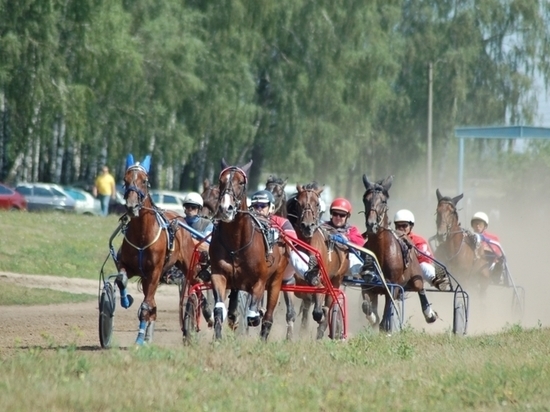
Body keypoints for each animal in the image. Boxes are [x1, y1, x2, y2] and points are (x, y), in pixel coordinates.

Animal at [115, 154, 197, 344]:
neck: (142, 234)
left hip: (186, 263)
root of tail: (179, 218)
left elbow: (146, 305)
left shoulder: (154, 271)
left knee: (192, 286)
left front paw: (139, 339)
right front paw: (126, 300)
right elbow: (121, 279)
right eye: (125, 180)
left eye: (144, 181)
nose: (131, 206)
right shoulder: (129, 266)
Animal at [209, 159, 292, 340]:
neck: (236, 243)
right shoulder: (219, 274)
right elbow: (219, 310)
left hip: (276, 279)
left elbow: (253, 317)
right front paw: (217, 339)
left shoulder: (259, 281)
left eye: (241, 182)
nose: (226, 208)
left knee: (267, 317)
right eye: (221, 181)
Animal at [288, 183, 350, 338]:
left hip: (336, 280)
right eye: (298, 203)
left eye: (317, 204)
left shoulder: (321, 283)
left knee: (329, 302)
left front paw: (323, 317)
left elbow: (319, 311)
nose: (307, 226)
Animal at [362, 174, 440, 332]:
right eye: (365, 199)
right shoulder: (367, 284)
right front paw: (374, 318)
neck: (381, 252)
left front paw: (386, 328)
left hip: (416, 277)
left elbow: (387, 313)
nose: (371, 224)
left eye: (383, 201)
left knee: (420, 288)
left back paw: (429, 314)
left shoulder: (392, 286)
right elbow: (367, 305)